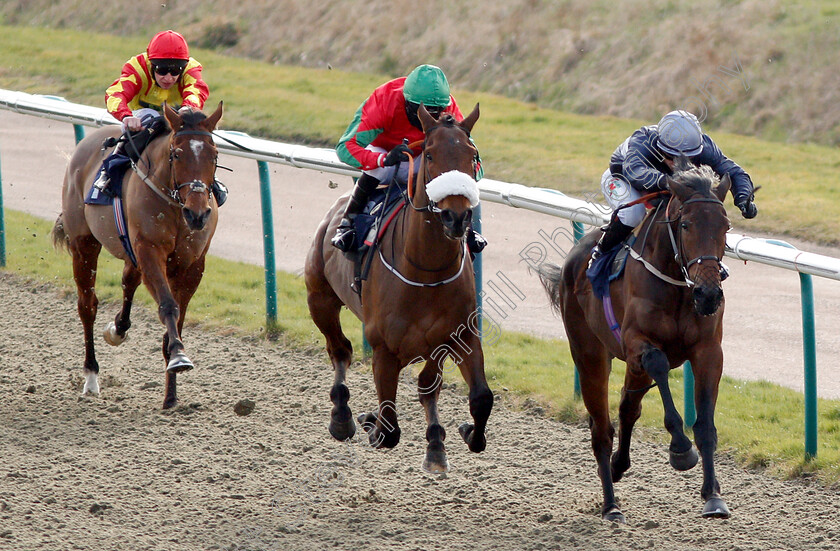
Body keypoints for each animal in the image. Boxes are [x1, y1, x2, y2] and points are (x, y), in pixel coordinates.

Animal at [52, 102, 223, 410]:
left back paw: (118, 329)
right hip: (84, 244)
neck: (175, 206)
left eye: (214, 155)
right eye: (176, 154)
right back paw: (91, 377)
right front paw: (179, 356)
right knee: (87, 305)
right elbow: (168, 307)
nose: (198, 213)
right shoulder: (150, 251)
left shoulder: (192, 266)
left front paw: (171, 395)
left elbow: (176, 321)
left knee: (127, 281)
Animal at [306, 104, 492, 474]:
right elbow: (389, 428)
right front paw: (370, 421)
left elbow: (478, 397)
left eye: (473, 155)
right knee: (340, 350)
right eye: (430, 155)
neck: (427, 270)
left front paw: (460, 434)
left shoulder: (458, 336)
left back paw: (434, 444)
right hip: (319, 298)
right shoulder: (384, 349)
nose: (456, 218)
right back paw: (343, 417)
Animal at [540, 162, 732, 524]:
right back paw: (610, 504)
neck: (677, 285)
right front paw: (680, 449)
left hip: (631, 368)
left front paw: (713, 497)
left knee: (627, 408)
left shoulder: (708, 352)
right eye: (685, 224)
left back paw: (618, 467)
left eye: (725, 226)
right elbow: (658, 364)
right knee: (601, 429)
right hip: (589, 354)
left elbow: (705, 425)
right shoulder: (635, 343)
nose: (709, 294)